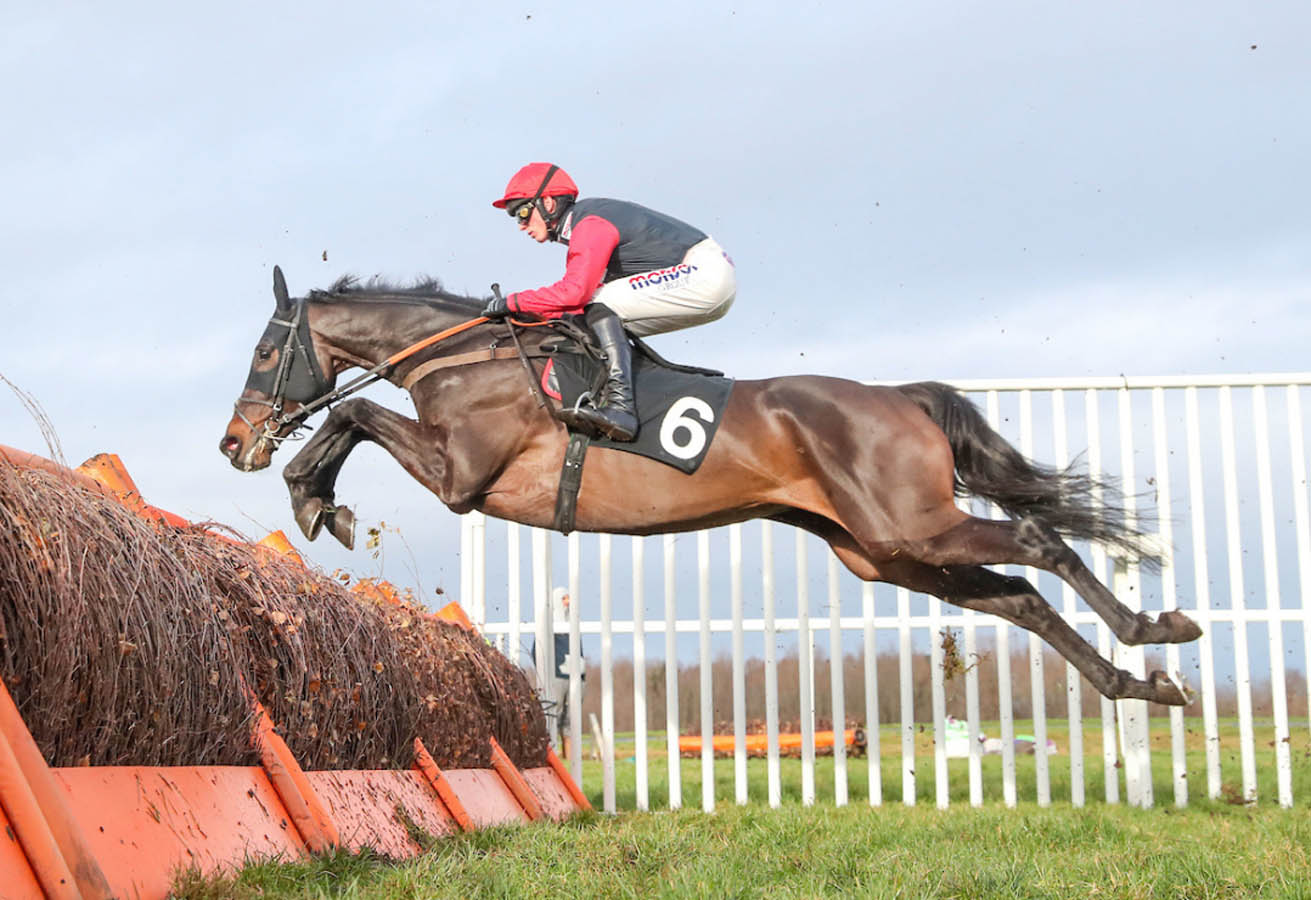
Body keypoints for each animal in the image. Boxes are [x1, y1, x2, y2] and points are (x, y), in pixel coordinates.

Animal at [222, 266, 1200, 703]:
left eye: (266, 352)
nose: (235, 444)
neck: (469, 355)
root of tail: (899, 396)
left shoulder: (460, 476)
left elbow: (355, 414)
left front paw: (312, 497)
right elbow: (355, 417)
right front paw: (316, 499)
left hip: (909, 524)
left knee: (1036, 542)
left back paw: (1155, 629)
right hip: (884, 551)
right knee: (1017, 598)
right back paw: (1137, 686)